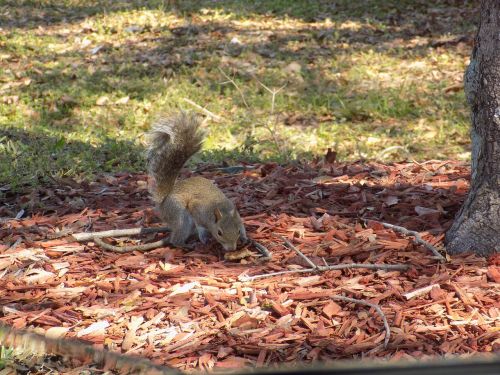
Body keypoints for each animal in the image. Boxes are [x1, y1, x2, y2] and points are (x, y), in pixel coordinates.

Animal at [146, 111, 247, 253]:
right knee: (176, 237)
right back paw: (184, 244)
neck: (220, 209)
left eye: (237, 231)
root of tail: (162, 203)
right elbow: (200, 225)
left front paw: (244, 237)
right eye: (219, 232)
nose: (231, 249)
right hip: (180, 216)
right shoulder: (197, 209)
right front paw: (204, 237)